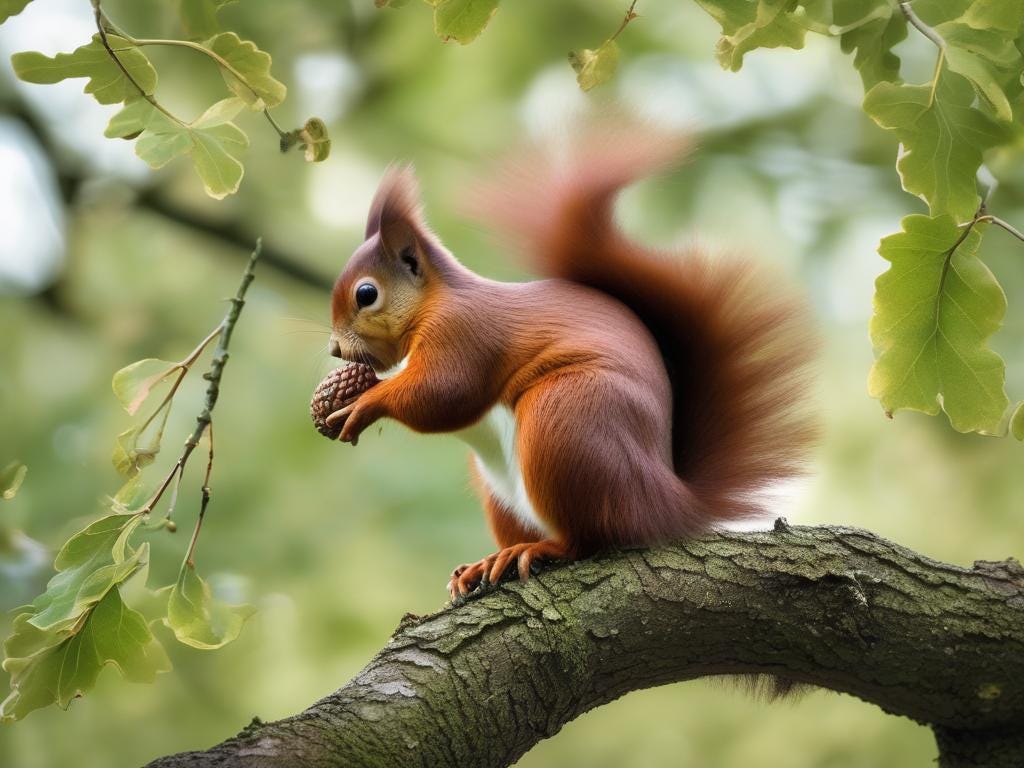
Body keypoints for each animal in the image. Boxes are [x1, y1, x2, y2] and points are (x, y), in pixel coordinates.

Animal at [326, 123, 817, 600]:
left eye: (366, 294)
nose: (334, 349)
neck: (434, 302)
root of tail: (669, 504)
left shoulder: (463, 334)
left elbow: (445, 393)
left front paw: (364, 403)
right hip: (502, 485)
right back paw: (490, 561)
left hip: (566, 421)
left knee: (591, 537)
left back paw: (541, 549)